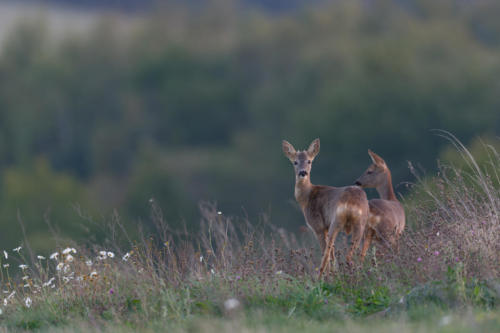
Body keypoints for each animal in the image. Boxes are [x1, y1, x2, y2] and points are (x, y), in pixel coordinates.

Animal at [284, 137, 370, 278]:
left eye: (309, 161)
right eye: (295, 162)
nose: (303, 172)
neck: (307, 196)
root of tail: (351, 204)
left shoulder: (319, 226)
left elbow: (327, 253)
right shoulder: (326, 226)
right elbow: (334, 254)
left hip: (335, 221)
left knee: (327, 253)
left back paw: (320, 277)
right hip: (360, 224)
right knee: (355, 254)